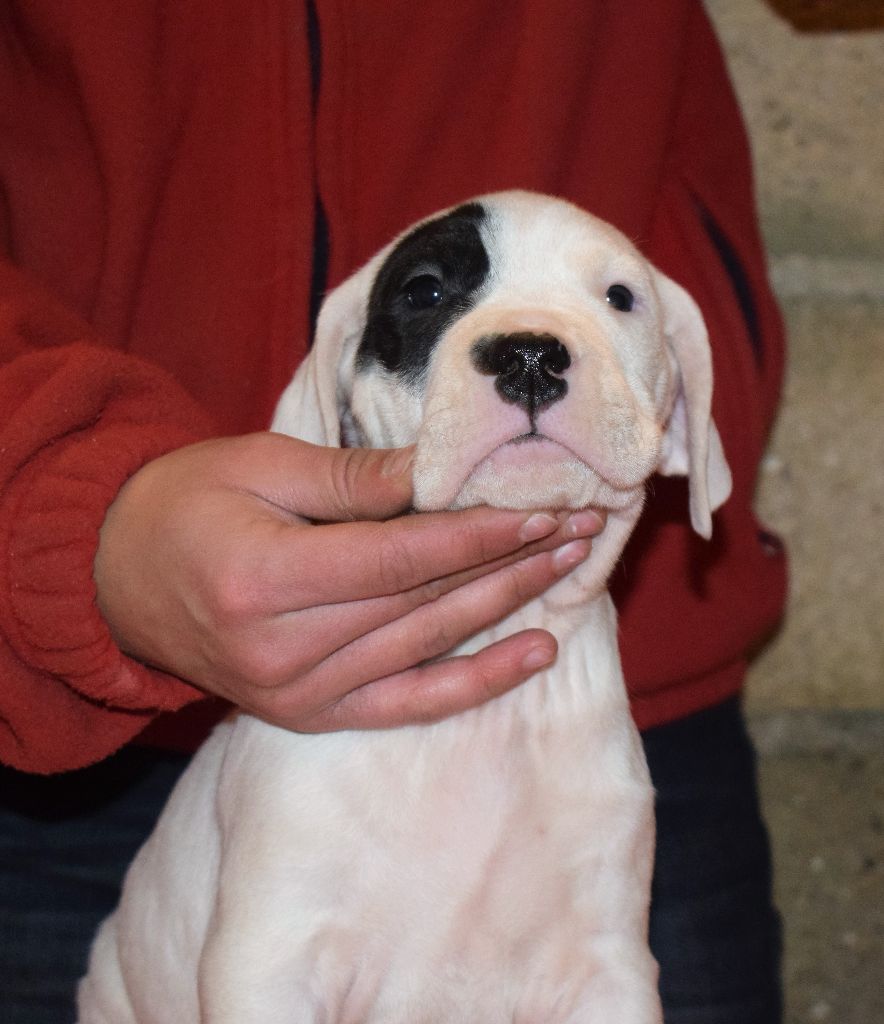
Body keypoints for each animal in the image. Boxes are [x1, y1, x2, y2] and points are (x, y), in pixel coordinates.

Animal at [77, 190, 731, 1023]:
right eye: (424, 291)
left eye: (621, 297)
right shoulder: (271, 958)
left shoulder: (605, 971)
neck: (479, 711)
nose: (529, 355)